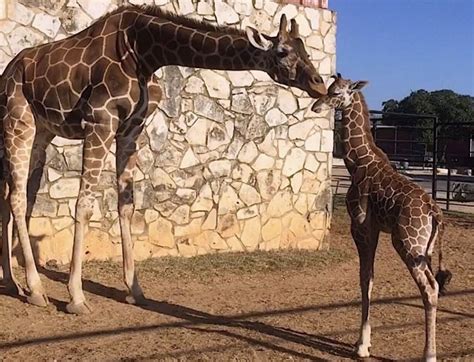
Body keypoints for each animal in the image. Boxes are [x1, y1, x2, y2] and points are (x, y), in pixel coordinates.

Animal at [0, 4, 326, 314]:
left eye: (306, 50)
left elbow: (127, 206)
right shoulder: (100, 121)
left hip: (42, 132)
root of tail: (6, 74)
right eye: (283, 52)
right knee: (17, 197)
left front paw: (135, 290)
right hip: (19, 121)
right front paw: (77, 298)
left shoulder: (131, 129)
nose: (319, 83)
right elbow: (84, 205)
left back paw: (14, 283)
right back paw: (36, 291)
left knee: (14, 197)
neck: (144, 52)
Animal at [312, 72, 452, 360]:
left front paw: (361, 346)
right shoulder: (374, 229)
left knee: (429, 288)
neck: (356, 163)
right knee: (434, 284)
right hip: (424, 250)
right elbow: (371, 278)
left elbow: (364, 279)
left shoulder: (360, 226)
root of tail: (436, 212)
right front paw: (364, 342)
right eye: (329, 88)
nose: (316, 107)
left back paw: (429, 354)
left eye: (337, 93)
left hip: (408, 245)